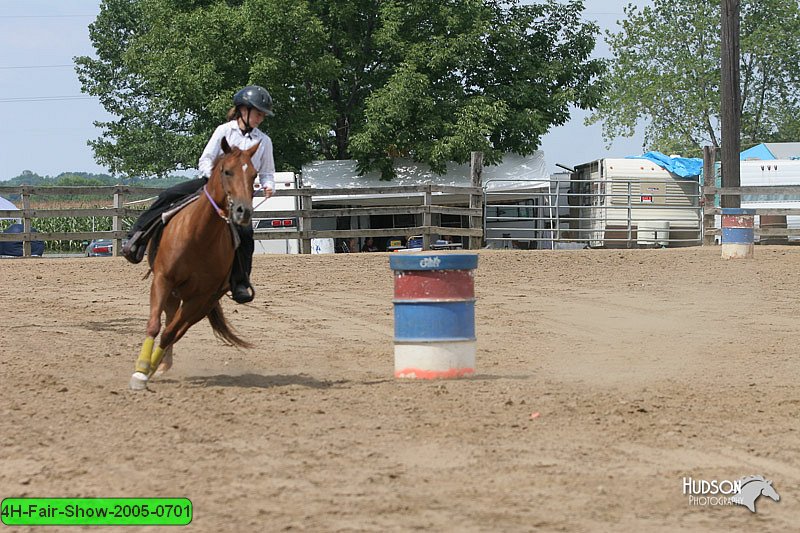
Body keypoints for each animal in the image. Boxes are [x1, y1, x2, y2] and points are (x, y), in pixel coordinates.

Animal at [130, 137, 258, 388]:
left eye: (254, 175)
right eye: (227, 171)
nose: (243, 211)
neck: (199, 236)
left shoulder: (200, 297)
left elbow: (170, 333)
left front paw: (148, 368)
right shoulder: (162, 280)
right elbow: (154, 325)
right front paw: (140, 371)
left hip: (204, 303)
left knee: (177, 328)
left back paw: (160, 365)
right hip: (173, 293)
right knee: (169, 318)